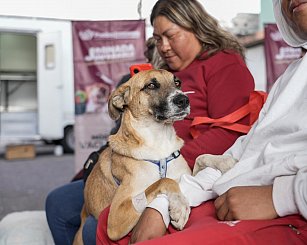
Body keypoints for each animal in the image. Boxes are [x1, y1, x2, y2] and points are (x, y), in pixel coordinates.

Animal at [73, 69, 191, 243]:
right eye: (151, 85)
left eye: (177, 82)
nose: (183, 100)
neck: (159, 142)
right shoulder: (115, 219)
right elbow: (164, 180)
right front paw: (180, 206)